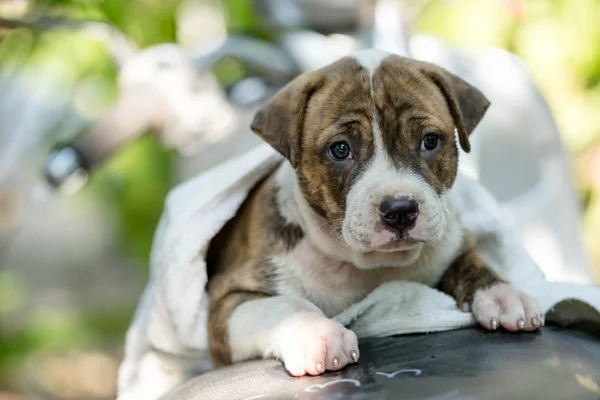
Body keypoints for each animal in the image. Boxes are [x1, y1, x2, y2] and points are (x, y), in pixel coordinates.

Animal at [206, 50, 544, 378]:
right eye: (340, 149)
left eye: (430, 140)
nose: (400, 209)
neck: (368, 264)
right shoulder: (227, 303)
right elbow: (285, 304)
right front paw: (319, 333)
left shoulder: (451, 245)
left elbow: (472, 262)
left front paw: (503, 293)